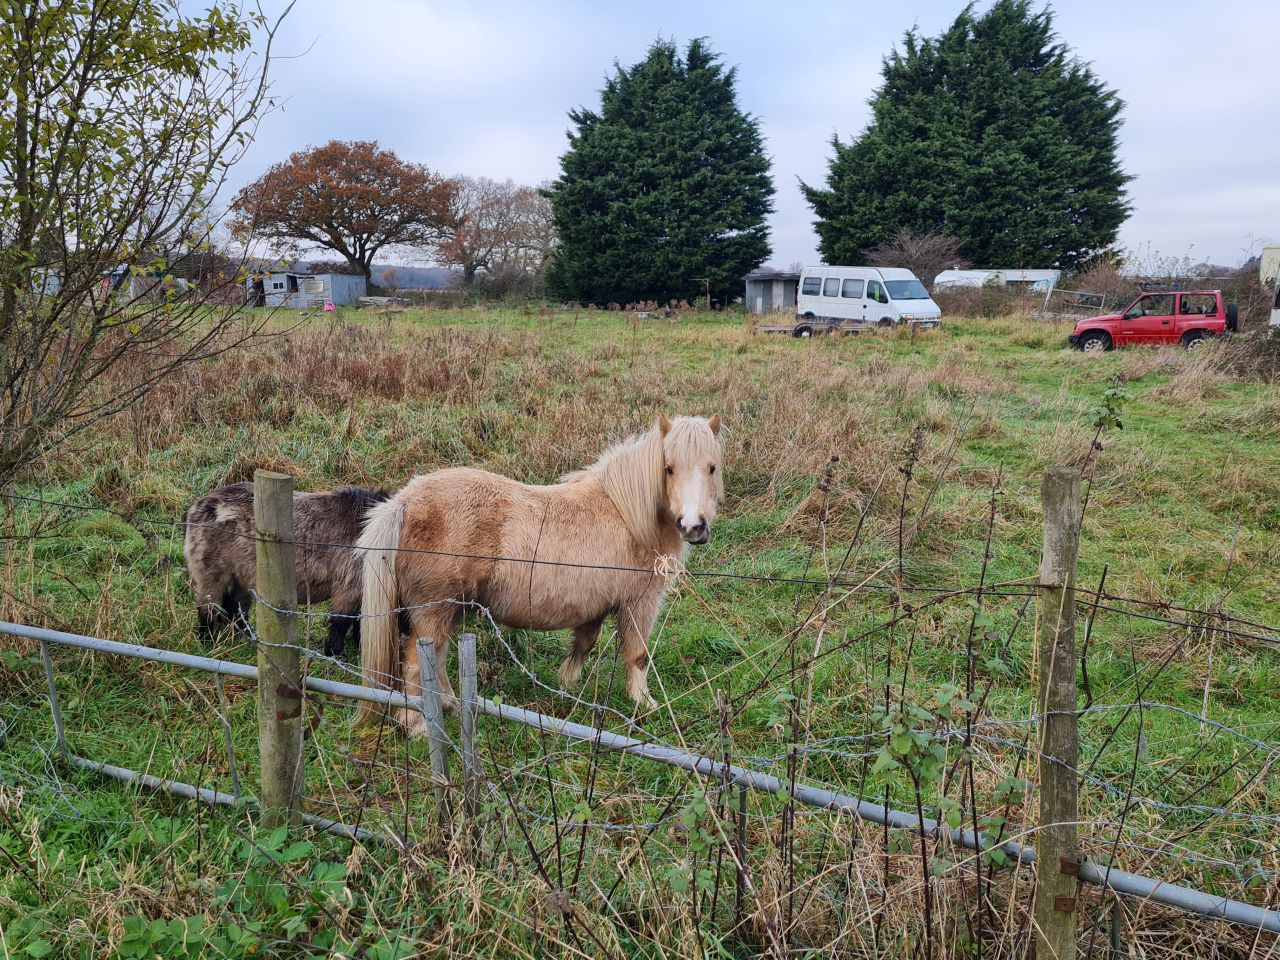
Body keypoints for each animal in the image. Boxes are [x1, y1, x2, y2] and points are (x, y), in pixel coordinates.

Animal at [183, 483, 386, 660]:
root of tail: (200, 504)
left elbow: (362, 622)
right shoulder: (349, 588)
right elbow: (341, 623)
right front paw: (335, 655)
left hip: (243, 576)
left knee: (236, 607)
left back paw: (247, 639)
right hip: (212, 575)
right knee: (207, 608)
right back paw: (207, 642)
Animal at [355, 414, 727, 737]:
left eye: (712, 467)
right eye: (669, 468)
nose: (693, 526)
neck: (630, 516)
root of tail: (404, 501)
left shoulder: (593, 608)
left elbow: (583, 645)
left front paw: (567, 688)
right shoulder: (640, 603)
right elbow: (637, 655)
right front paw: (644, 703)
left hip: (450, 608)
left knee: (439, 657)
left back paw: (449, 703)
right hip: (433, 610)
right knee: (415, 666)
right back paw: (417, 724)